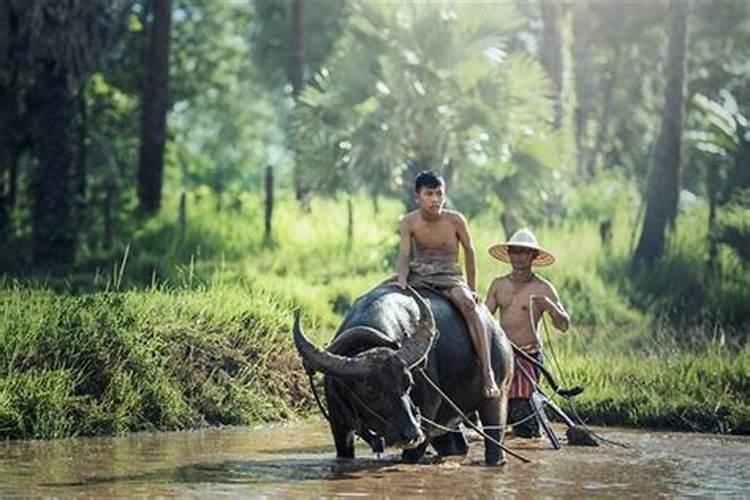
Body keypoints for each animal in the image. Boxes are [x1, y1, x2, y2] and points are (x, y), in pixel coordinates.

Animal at [294, 286, 516, 464]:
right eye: (369, 389)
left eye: (408, 383)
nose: (411, 434)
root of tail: (498, 332)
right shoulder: (339, 427)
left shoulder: (425, 423)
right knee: (456, 445)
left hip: (498, 396)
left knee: (494, 439)